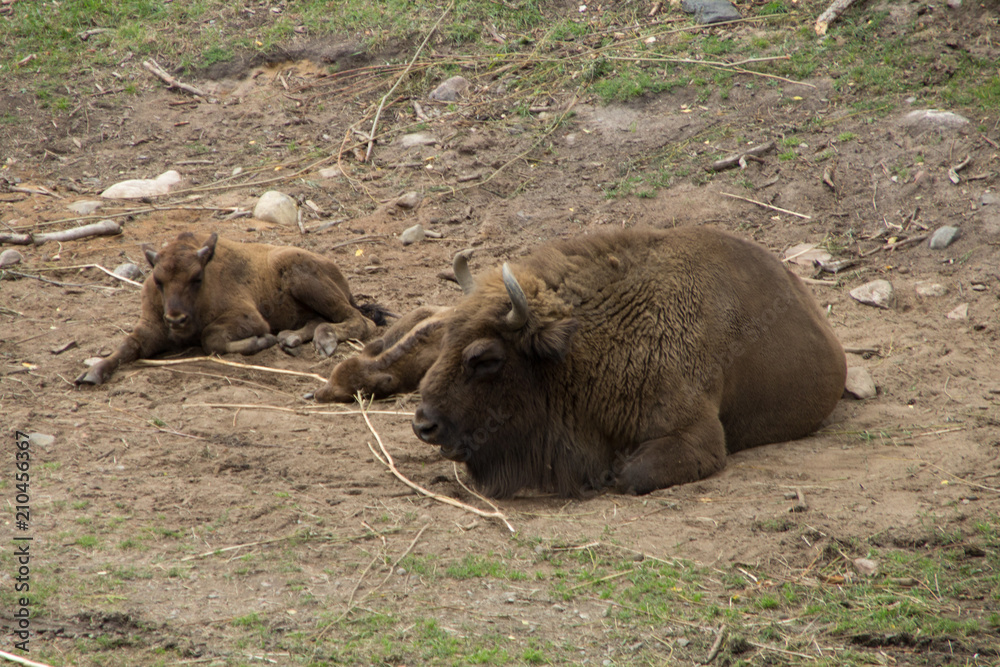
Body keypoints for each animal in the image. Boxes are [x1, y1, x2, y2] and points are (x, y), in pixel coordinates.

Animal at [76, 231, 383, 386]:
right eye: (158, 280)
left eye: (197, 277)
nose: (175, 319)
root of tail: (335, 270)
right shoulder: (151, 327)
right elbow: (128, 345)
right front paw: (92, 374)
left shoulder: (249, 317)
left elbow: (211, 337)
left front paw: (264, 340)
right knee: (319, 321)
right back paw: (291, 338)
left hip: (305, 279)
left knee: (360, 321)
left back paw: (323, 341)